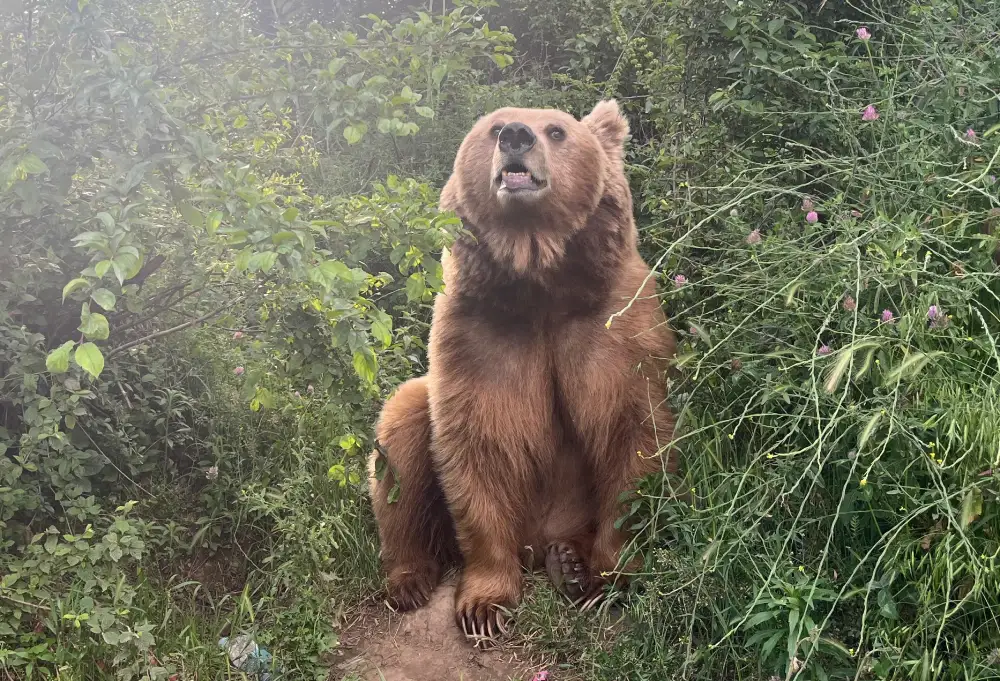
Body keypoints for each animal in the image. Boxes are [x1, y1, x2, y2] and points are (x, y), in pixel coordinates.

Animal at [367, 99, 677, 645]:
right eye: (493, 127)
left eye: (556, 130)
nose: (515, 135)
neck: (540, 280)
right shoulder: (479, 332)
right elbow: (477, 442)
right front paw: (483, 606)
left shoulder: (615, 326)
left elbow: (633, 433)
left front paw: (608, 579)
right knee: (400, 436)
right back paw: (409, 578)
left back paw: (567, 561)